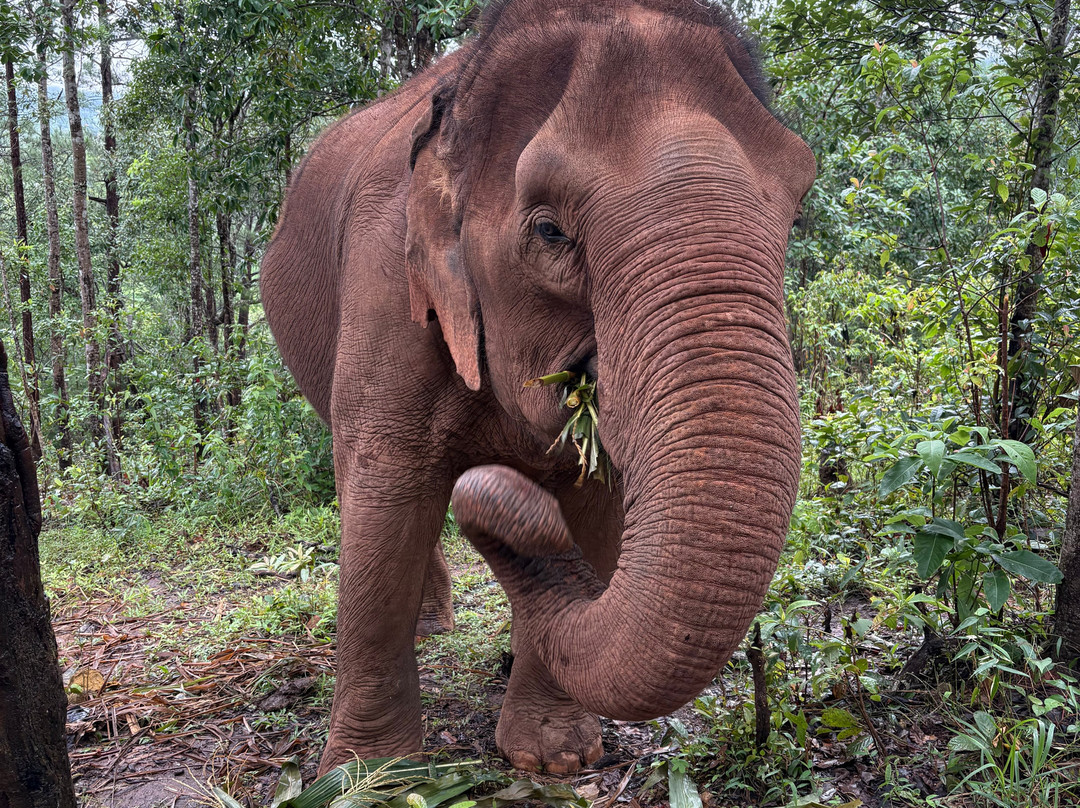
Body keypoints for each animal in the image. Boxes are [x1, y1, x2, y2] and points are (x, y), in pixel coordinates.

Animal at [261, 0, 815, 775]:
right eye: (550, 230)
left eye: (796, 212)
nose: (491, 491)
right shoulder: (384, 280)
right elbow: (385, 490)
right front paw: (370, 775)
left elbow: (598, 498)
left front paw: (555, 757)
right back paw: (431, 624)